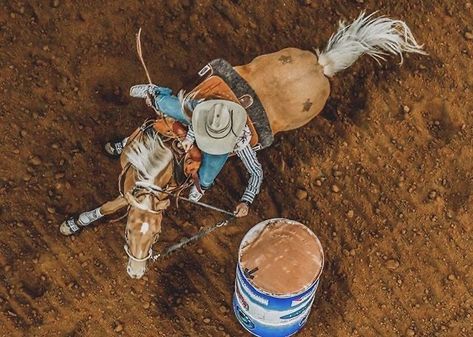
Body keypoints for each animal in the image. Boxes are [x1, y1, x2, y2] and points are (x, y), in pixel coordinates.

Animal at [58, 11, 424, 276]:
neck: (165, 149)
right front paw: (76, 220)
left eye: (157, 236)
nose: (136, 272)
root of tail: (321, 66)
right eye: (129, 232)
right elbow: (111, 203)